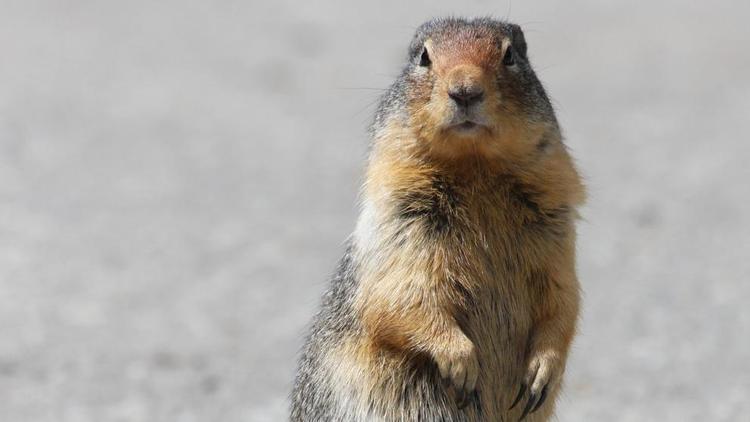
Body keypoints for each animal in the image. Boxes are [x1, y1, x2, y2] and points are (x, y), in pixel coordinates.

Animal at [290, 17, 584, 422]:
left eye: (510, 55)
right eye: (423, 57)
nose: (465, 91)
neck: (475, 169)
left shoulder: (556, 227)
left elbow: (562, 297)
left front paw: (543, 370)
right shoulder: (401, 222)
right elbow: (404, 293)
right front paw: (461, 363)